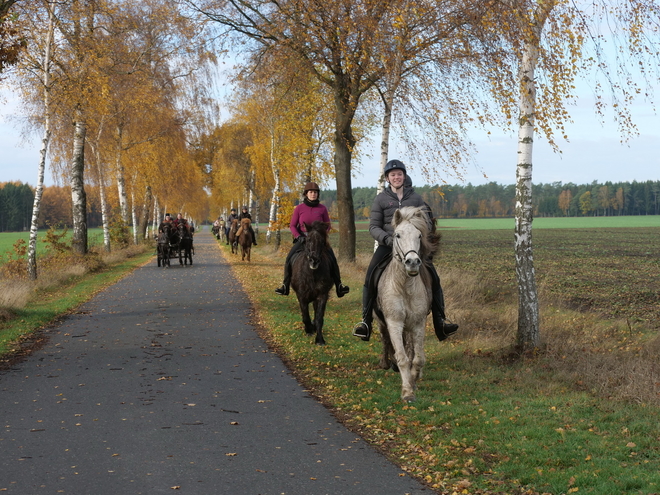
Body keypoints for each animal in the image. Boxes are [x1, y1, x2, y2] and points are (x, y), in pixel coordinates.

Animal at [376, 205, 438, 404]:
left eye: (419, 235)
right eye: (397, 235)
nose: (412, 262)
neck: (404, 285)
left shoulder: (418, 323)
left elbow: (417, 358)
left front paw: (414, 378)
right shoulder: (394, 322)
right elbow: (402, 357)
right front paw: (407, 391)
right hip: (381, 321)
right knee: (385, 339)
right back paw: (386, 362)